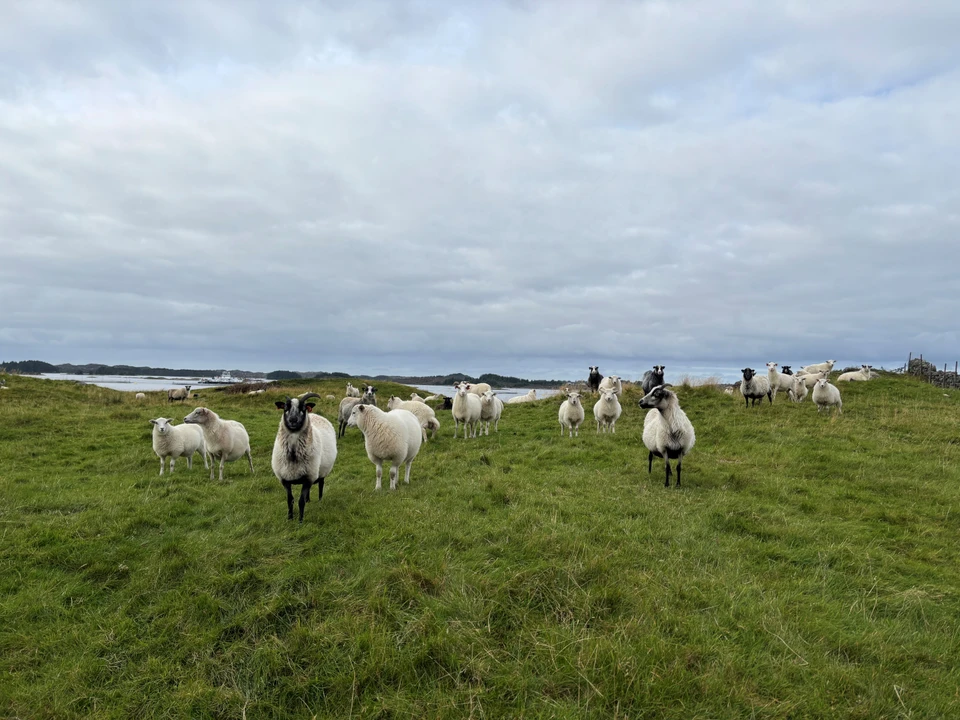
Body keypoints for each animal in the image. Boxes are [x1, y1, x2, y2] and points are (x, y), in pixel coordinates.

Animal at [271, 393, 337, 523]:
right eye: (285, 408)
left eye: (302, 409)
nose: (293, 420)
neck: (293, 454)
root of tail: (316, 414)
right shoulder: (285, 479)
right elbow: (290, 500)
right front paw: (290, 518)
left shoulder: (308, 477)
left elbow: (300, 502)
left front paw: (300, 521)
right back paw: (309, 500)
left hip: (321, 470)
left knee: (321, 484)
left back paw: (320, 500)